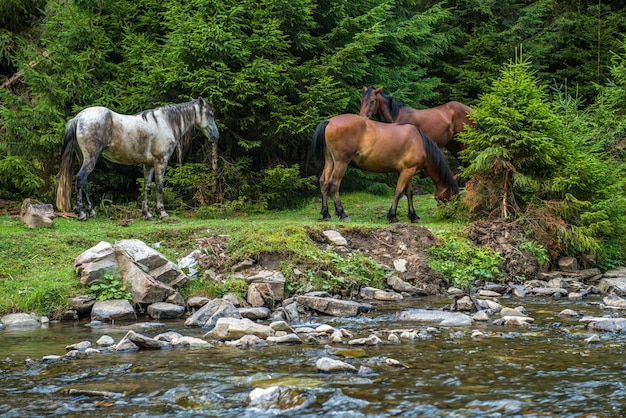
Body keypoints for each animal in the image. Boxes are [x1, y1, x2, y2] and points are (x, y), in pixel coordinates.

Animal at [56, 98, 217, 222]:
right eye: (210, 114)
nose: (216, 136)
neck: (164, 123)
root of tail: (79, 118)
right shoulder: (161, 161)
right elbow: (160, 186)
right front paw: (162, 213)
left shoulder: (148, 165)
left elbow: (147, 186)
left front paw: (147, 214)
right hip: (90, 158)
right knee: (80, 179)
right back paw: (82, 214)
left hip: (84, 159)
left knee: (84, 183)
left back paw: (90, 212)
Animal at [310, 112, 456, 224]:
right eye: (452, 195)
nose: (450, 215)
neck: (419, 141)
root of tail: (329, 121)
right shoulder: (407, 171)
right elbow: (398, 192)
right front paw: (392, 216)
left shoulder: (408, 171)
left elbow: (409, 193)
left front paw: (413, 216)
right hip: (341, 162)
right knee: (334, 184)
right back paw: (342, 214)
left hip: (330, 161)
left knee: (324, 182)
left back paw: (326, 214)